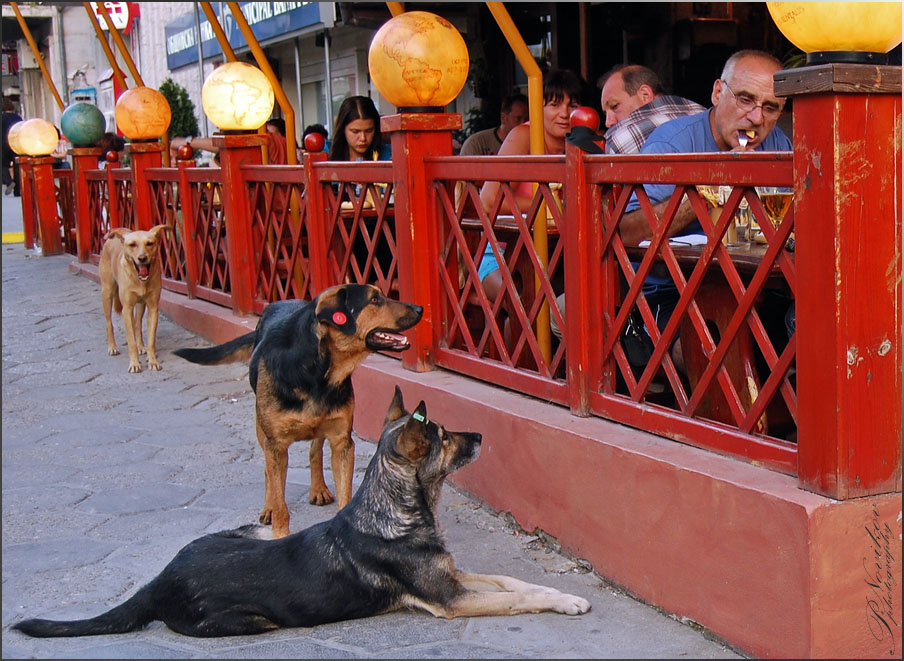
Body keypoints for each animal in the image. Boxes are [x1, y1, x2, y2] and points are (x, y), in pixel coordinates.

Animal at [12, 386, 590, 638]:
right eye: (445, 438)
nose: (480, 437)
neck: (396, 510)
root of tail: (160, 578)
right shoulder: (450, 600)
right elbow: (517, 600)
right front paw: (562, 603)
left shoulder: (455, 578)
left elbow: (513, 583)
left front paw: (561, 592)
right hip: (248, 622)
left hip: (242, 532)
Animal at [99, 225, 170, 373]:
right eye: (132, 245)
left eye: (150, 243)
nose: (142, 258)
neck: (140, 280)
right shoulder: (127, 309)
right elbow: (130, 342)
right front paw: (134, 363)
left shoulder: (153, 308)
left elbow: (151, 339)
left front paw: (152, 360)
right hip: (107, 294)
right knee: (109, 322)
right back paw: (112, 347)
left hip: (141, 304)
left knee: (137, 324)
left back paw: (141, 346)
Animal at [174, 283, 423, 538]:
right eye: (374, 299)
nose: (420, 308)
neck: (318, 371)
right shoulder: (275, 446)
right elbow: (279, 497)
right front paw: (279, 531)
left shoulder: (342, 442)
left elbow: (344, 490)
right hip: (262, 431)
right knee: (269, 474)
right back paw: (268, 507)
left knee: (315, 451)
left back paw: (318, 488)